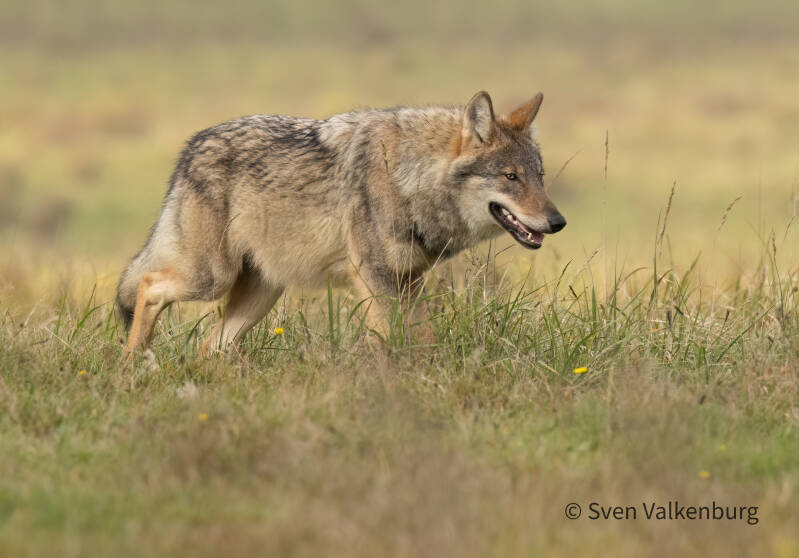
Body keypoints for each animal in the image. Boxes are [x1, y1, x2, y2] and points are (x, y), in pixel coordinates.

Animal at [116, 91, 566, 357]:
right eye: (511, 177)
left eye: (540, 176)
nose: (558, 221)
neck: (408, 177)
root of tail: (192, 146)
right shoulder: (374, 278)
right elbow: (405, 341)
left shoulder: (408, 281)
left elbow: (421, 338)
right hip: (211, 278)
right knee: (147, 285)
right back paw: (132, 366)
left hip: (260, 295)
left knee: (210, 348)